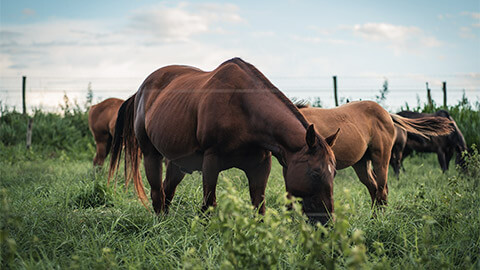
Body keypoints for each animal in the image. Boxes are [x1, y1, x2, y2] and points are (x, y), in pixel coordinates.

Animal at [110, 57, 340, 224]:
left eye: (334, 173)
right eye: (315, 172)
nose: (327, 221)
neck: (244, 109)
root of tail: (139, 92)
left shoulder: (260, 166)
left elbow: (259, 206)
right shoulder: (211, 161)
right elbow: (208, 205)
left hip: (178, 163)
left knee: (168, 190)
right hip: (151, 155)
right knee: (157, 193)